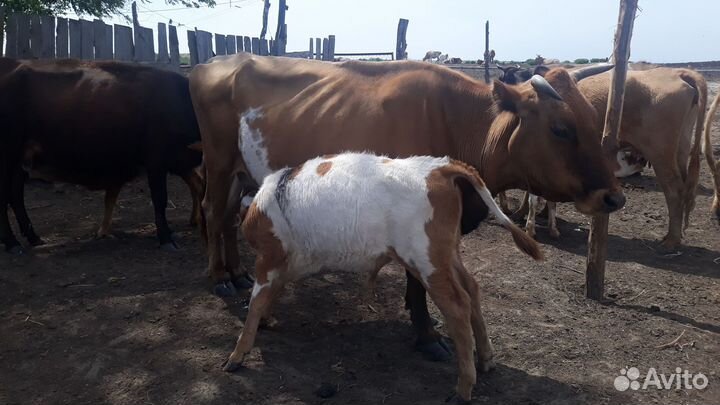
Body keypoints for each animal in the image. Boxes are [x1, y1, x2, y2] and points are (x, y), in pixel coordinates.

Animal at [0, 58, 203, 254]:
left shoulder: (177, 161)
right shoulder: (156, 161)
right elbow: (160, 200)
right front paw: (166, 239)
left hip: (20, 159)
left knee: (15, 195)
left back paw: (33, 238)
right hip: (7, 155)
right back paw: (11, 243)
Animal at [189, 53, 623, 361]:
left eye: (593, 119)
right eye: (561, 129)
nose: (613, 197)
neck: (458, 122)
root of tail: (215, 62)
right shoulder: (411, 220)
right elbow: (417, 284)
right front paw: (426, 335)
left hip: (241, 170)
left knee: (227, 216)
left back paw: (239, 273)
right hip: (219, 159)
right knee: (212, 208)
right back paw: (219, 276)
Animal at [222, 152, 543, 403]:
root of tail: (440, 166)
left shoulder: (267, 259)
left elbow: (255, 304)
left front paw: (238, 353)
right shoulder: (282, 264)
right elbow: (271, 295)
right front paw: (265, 321)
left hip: (426, 261)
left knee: (458, 307)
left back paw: (464, 387)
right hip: (444, 256)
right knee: (472, 290)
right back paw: (486, 358)